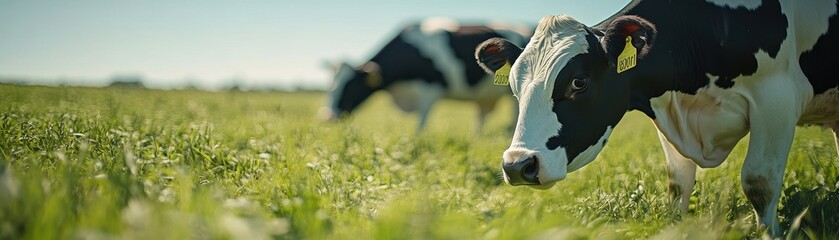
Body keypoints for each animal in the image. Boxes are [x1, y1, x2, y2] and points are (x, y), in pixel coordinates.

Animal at [476, 0, 836, 236]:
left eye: (579, 82)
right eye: (514, 86)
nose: (517, 165)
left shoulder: (776, 98)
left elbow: (759, 182)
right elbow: (678, 184)